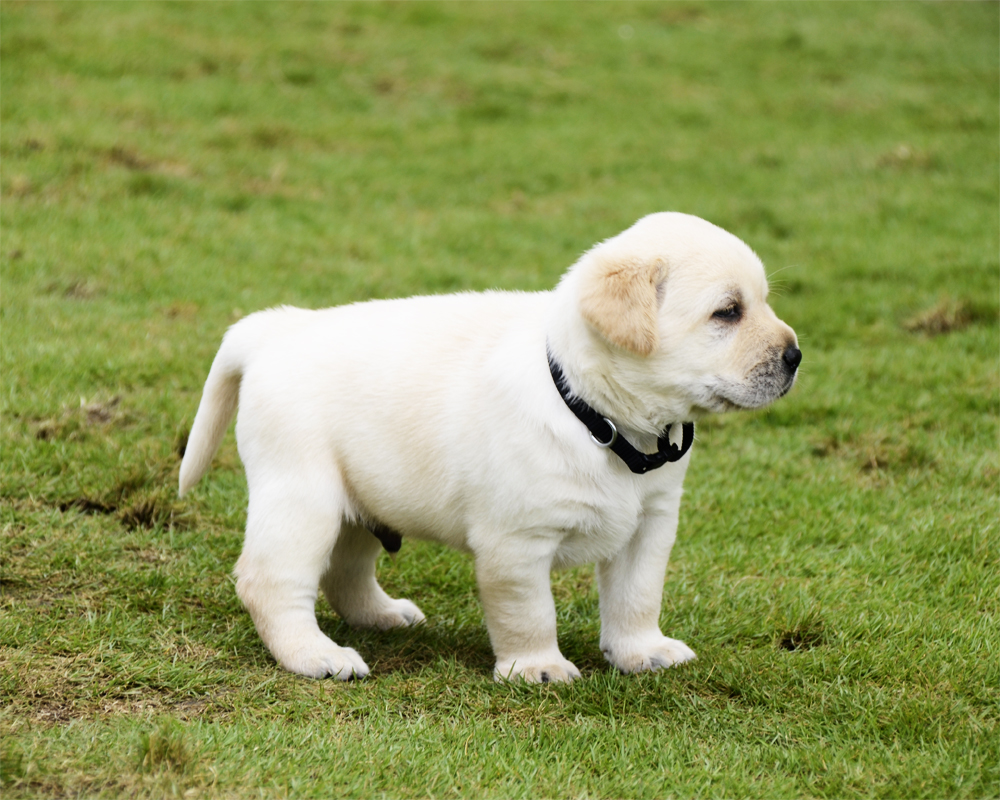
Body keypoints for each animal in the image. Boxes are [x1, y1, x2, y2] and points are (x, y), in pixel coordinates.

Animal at [180, 211, 800, 680]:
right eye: (727, 312)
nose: (795, 356)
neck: (593, 415)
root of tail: (278, 329)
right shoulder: (518, 540)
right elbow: (528, 612)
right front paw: (536, 667)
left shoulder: (651, 524)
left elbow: (637, 596)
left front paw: (641, 651)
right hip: (302, 499)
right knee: (271, 582)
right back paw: (316, 656)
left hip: (357, 501)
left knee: (344, 572)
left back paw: (382, 616)